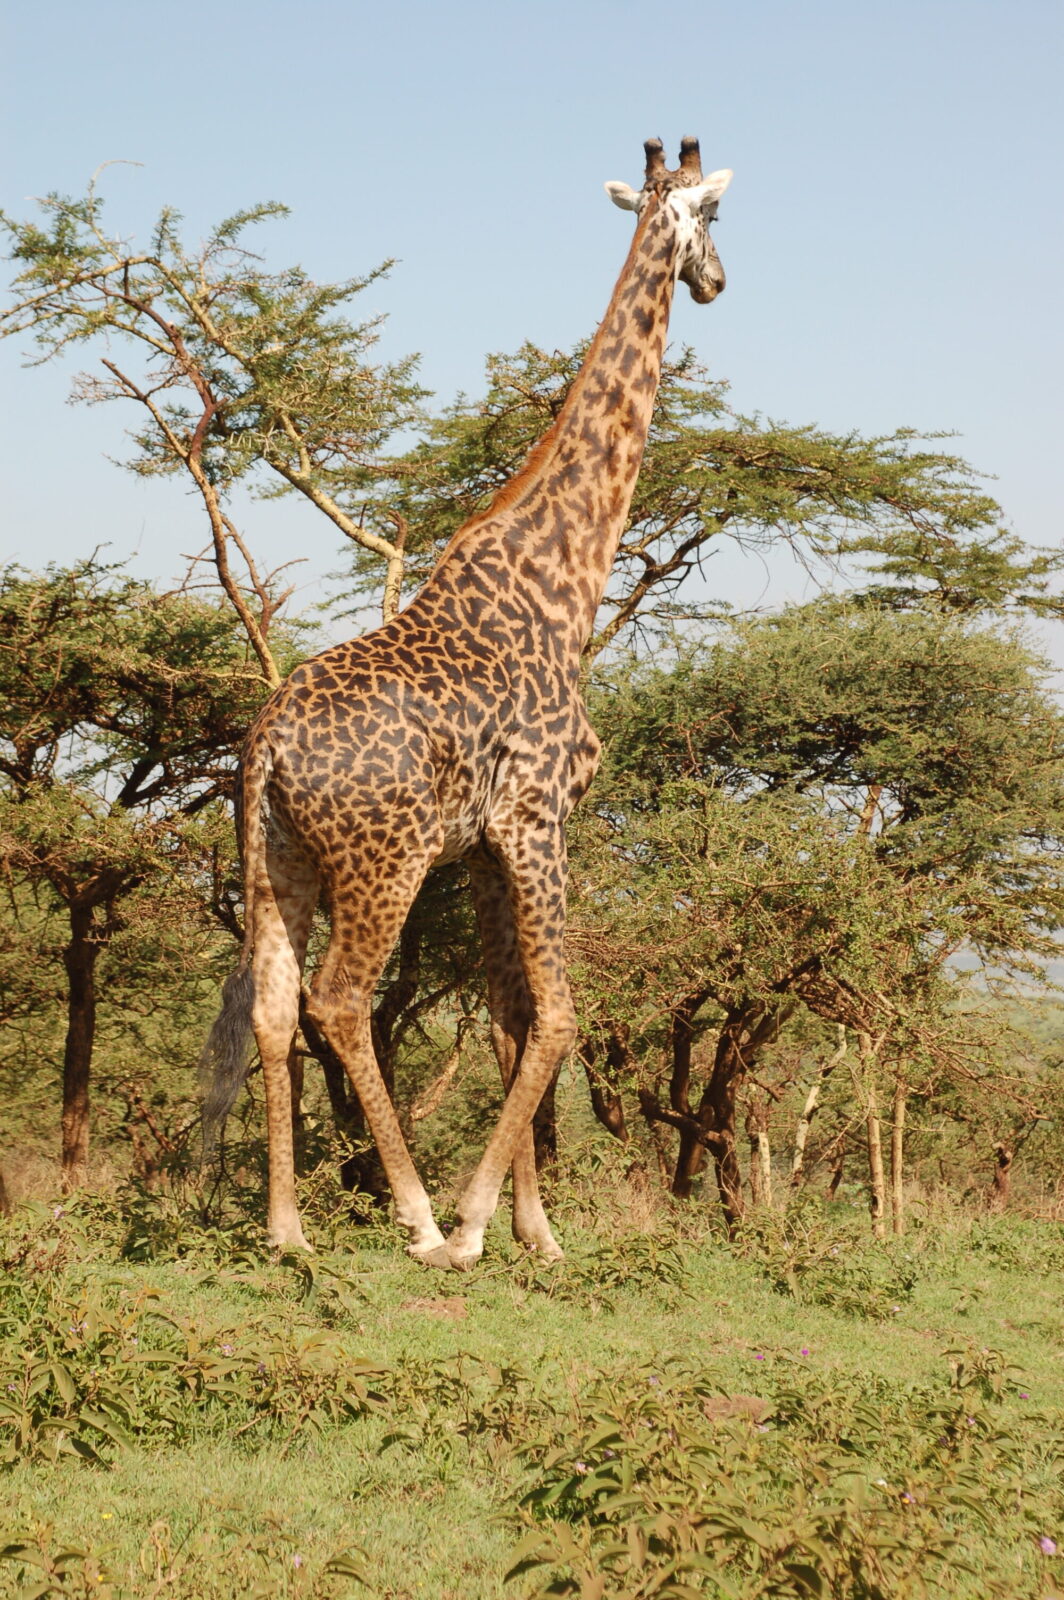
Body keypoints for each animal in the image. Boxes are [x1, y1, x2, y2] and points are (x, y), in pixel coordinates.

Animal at [202, 137, 733, 1269]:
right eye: (714, 219)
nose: (714, 280)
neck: (566, 578)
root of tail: (264, 747)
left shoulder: (488, 844)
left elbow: (506, 1019)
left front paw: (538, 1231)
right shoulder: (537, 818)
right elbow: (561, 1017)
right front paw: (478, 1223)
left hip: (277, 859)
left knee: (272, 1005)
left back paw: (285, 1230)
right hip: (384, 861)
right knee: (338, 1000)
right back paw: (412, 1216)